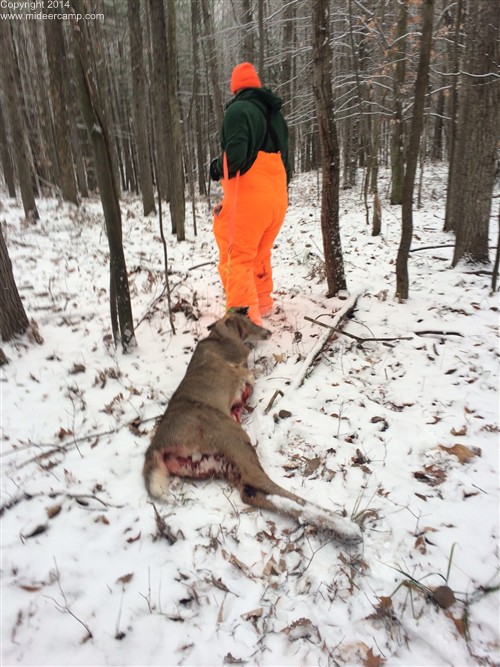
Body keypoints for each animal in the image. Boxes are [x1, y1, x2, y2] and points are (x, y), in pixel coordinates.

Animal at [143, 308, 362, 548]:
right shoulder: (240, 359)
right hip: (230, 435)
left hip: (214, 463)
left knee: (249, 492)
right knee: (259, 481)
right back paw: (344, 526)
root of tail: (156, 447)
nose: (268, 331)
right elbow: (256, 365)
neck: (218, 335)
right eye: (247, 322)